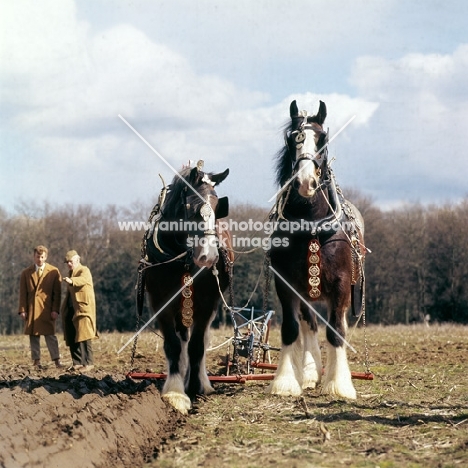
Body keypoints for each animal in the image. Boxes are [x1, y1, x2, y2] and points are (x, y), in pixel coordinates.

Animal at [141, 162, 232, 414]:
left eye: (217, 206)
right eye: (191, 207)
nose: (208, 257)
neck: (181, 257)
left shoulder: (207, 302)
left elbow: (197, 345)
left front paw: (193, 387)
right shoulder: (159, 301)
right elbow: (173, 345)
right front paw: (175, 392)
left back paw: (200, 380)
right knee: (182, 338)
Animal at [266, 98, 366, 398]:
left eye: (323, 139)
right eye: (292, 139)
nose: (305, 182)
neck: (311, 224)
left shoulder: (342, 284)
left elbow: (335, 332)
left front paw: (339, 385)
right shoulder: (285, 282)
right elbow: (291, 328)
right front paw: (286, 381)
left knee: (338, 324)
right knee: (308, 323)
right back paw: (310, 373)